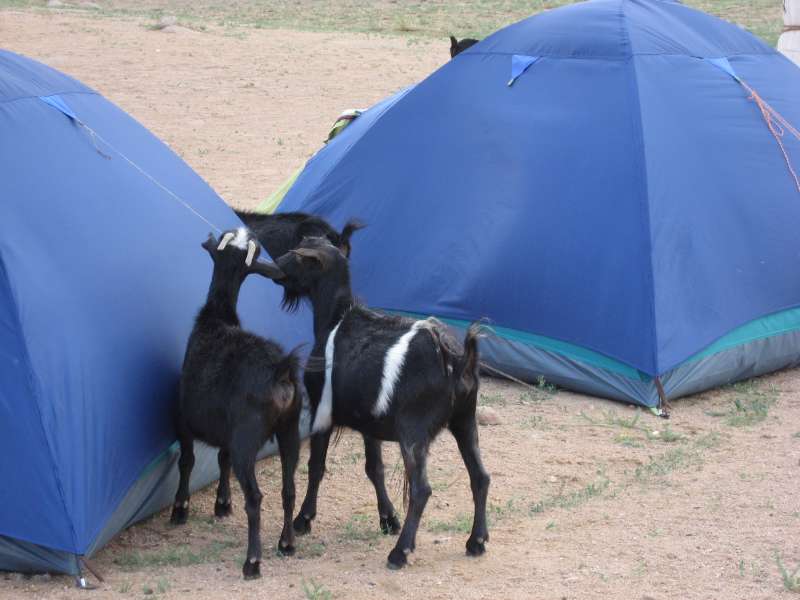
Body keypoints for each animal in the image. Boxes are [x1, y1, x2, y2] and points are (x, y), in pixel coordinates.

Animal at [170, 227, 302, 580]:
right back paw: (286, 544)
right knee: (288, 488)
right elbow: (222, 459)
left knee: (255, 497)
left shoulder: (183, 420)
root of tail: (281, 368)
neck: (216, 318)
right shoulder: (227, 431)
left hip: (248, 436)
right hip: (291, 431)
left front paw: (180, 509)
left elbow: (187, 461)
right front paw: (222, 504)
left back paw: (252, 562)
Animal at [262, 236, 490, 568]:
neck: (335, 318)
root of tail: (457, 359)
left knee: (421, 489)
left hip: (413, 432)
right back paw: (477, 541)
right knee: (480, 477)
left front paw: (303, 520)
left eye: (298, 256)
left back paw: (400, 552)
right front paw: (388, 519)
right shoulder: (370, 423)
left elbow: (316, 466)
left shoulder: (321, 411)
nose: (274, 265)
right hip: (465, 420)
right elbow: (375, 468)